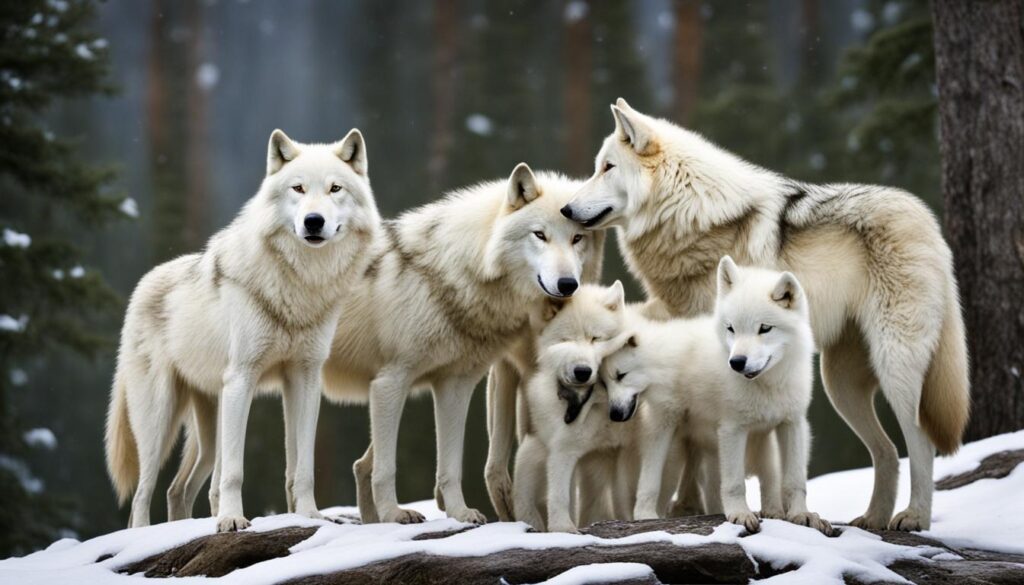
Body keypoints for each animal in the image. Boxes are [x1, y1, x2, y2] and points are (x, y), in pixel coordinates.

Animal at [105, 130, 382, 532]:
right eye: (298, 188)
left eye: (335, 189)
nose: (313, 221)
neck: (300, 286)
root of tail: (142, 285)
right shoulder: (242, 379)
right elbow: (235, 471)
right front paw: (232, 520)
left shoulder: (304, 379)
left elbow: (301, 467)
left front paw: (310, 515)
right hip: (159, 421)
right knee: (143, 493)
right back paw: (143, 535)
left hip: (207, 432)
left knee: (178, 488)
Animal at [327, 162, 598, 524]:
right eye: (539, 235)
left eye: (577, 238)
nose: (568, 284)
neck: (456, 271)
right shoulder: (390, 382)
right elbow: (386, 467)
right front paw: (395, 515)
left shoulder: (454, 385)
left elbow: (450, 466)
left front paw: (460, 513)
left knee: (360, 465)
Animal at [602, 256, 827, 536]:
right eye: (731, 328)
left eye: (764, 328)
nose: (737, 362)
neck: (769, 385)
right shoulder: (732, 429)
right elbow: (735, 484)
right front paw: (741, 515)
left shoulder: (792, 424)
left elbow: (795, 480)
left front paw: (800, 515)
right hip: (668, 447)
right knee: (650, 486)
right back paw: (646, 517)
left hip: (740, 450)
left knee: (763, 482)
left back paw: (772, 511)